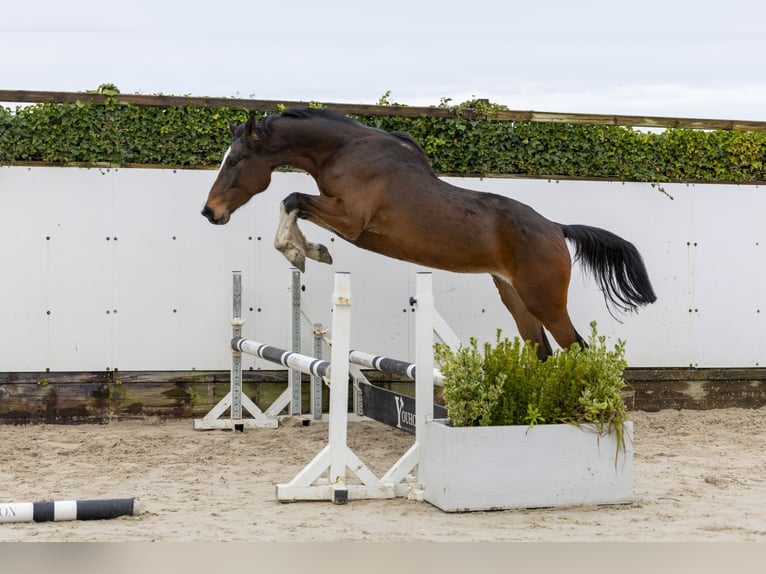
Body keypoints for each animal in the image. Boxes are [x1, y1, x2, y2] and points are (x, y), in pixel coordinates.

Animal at [202, 107, 656, 359]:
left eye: (235, 161)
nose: (210, 212)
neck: (344, 151)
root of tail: (557, 229)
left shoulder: (351, 221)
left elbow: (291, 199)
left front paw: (304, 252)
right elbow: (293, 203)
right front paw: (308, 250)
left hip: (545, 302)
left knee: (578, 348)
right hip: (517, 300)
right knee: (542, 351)